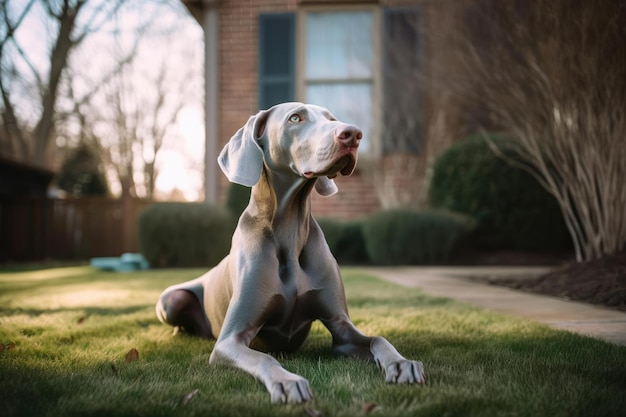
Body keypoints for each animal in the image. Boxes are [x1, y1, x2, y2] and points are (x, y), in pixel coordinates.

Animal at [155, 101, 424, 404]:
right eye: (295, 118)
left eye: (331, 118)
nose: (354, 134)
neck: (289, 230)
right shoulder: (229, 340)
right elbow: (264, 358)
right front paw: (287, 382)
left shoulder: (341, 328)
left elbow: (378, 338)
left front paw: (401, 363)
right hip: (171, 299)